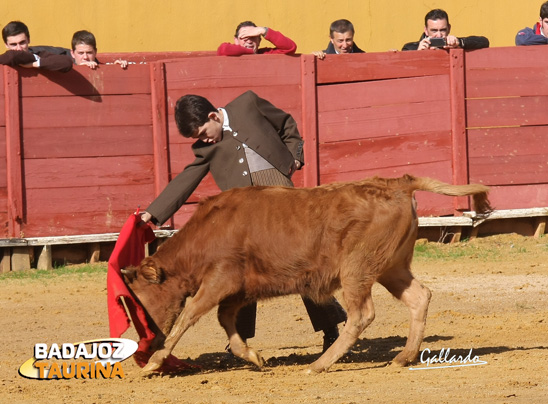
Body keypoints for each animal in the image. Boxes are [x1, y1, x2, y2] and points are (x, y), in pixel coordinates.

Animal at [121, 175, 492, 374]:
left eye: (140, 299)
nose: (141, 339)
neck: (209, 231)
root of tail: (397, 183)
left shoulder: (220, 280)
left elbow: (190, 315)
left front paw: (154, 362)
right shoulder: (239, 289)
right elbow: (226, 321)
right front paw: (255, 357)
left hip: (357, 269)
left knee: (361, 314)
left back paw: (319, 364)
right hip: (392, 267)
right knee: (418, 297)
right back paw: (402, 358)